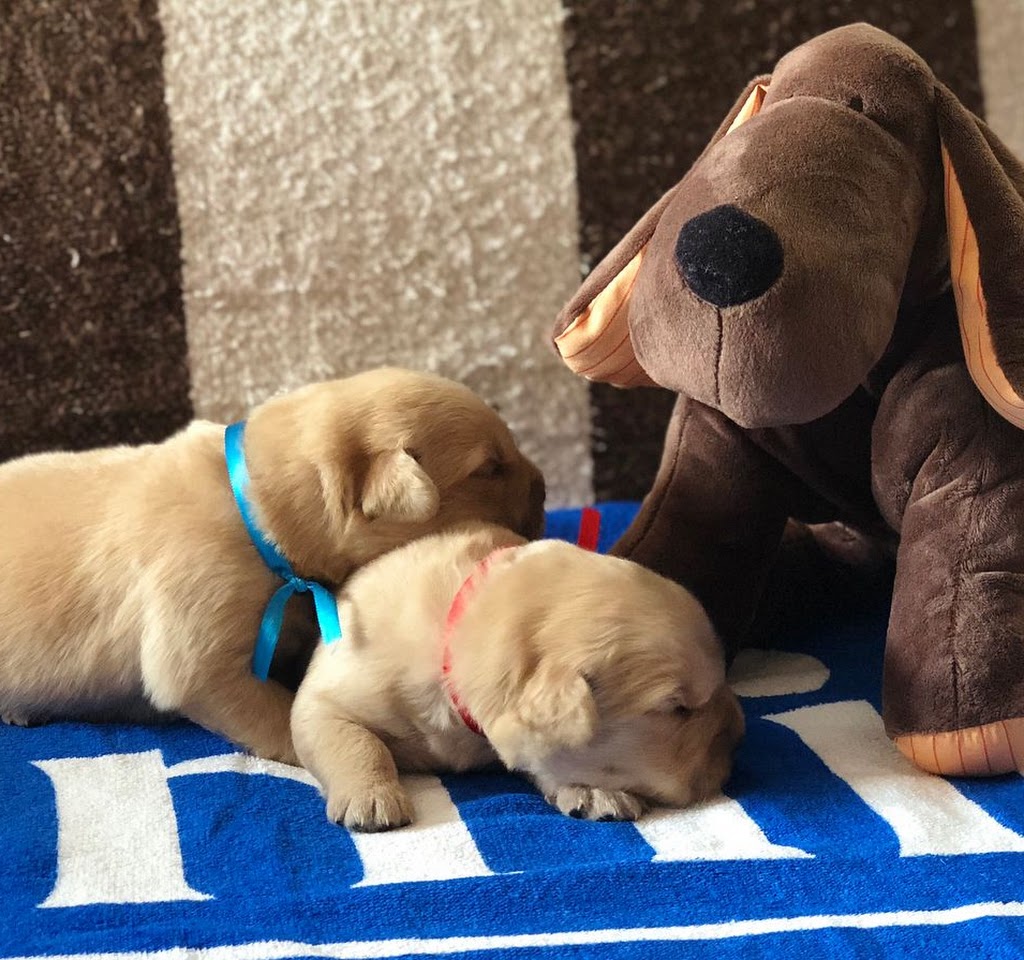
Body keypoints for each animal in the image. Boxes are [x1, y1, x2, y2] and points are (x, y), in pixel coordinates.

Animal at [291, 522, 743, 831]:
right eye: (678, 709)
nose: (739, 733)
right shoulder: (328, 694)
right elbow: (354, 739)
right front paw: (371, 798)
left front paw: (593, 790)